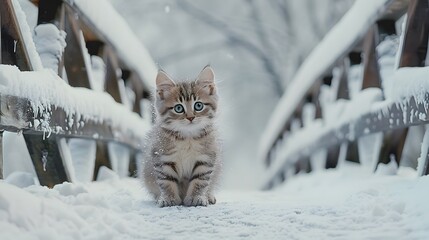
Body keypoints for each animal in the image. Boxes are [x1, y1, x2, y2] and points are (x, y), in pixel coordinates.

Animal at [142, 65, 221, 206]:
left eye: (198, 105)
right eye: (178, 108)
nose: (190, 117)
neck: (187, 138)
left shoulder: (206, 158)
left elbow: (200, 181)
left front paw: (197, 197)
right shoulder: (162, 158)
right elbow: (166, 181)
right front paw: (169, 198)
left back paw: (209, 196)